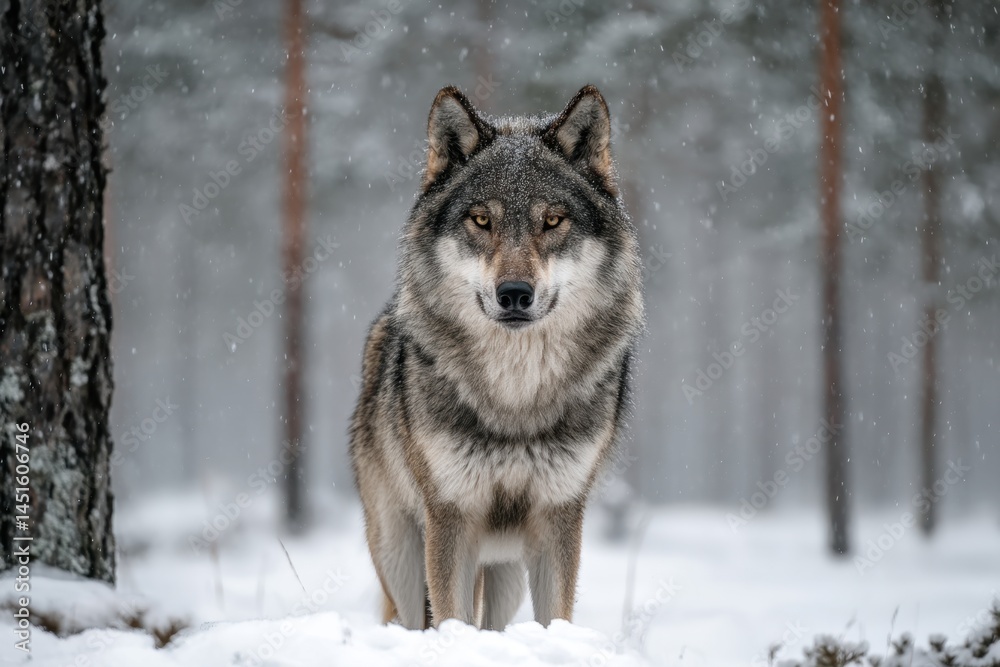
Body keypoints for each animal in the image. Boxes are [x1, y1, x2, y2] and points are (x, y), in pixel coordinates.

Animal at [349, 84, 644, 631]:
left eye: (552, 220)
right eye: (481, 220)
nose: (514, 294)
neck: (515, 395)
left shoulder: (559, 515)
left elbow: (555, 618)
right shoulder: (450, 515)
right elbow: (451, 619)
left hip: (505, 573)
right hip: (400, 556)